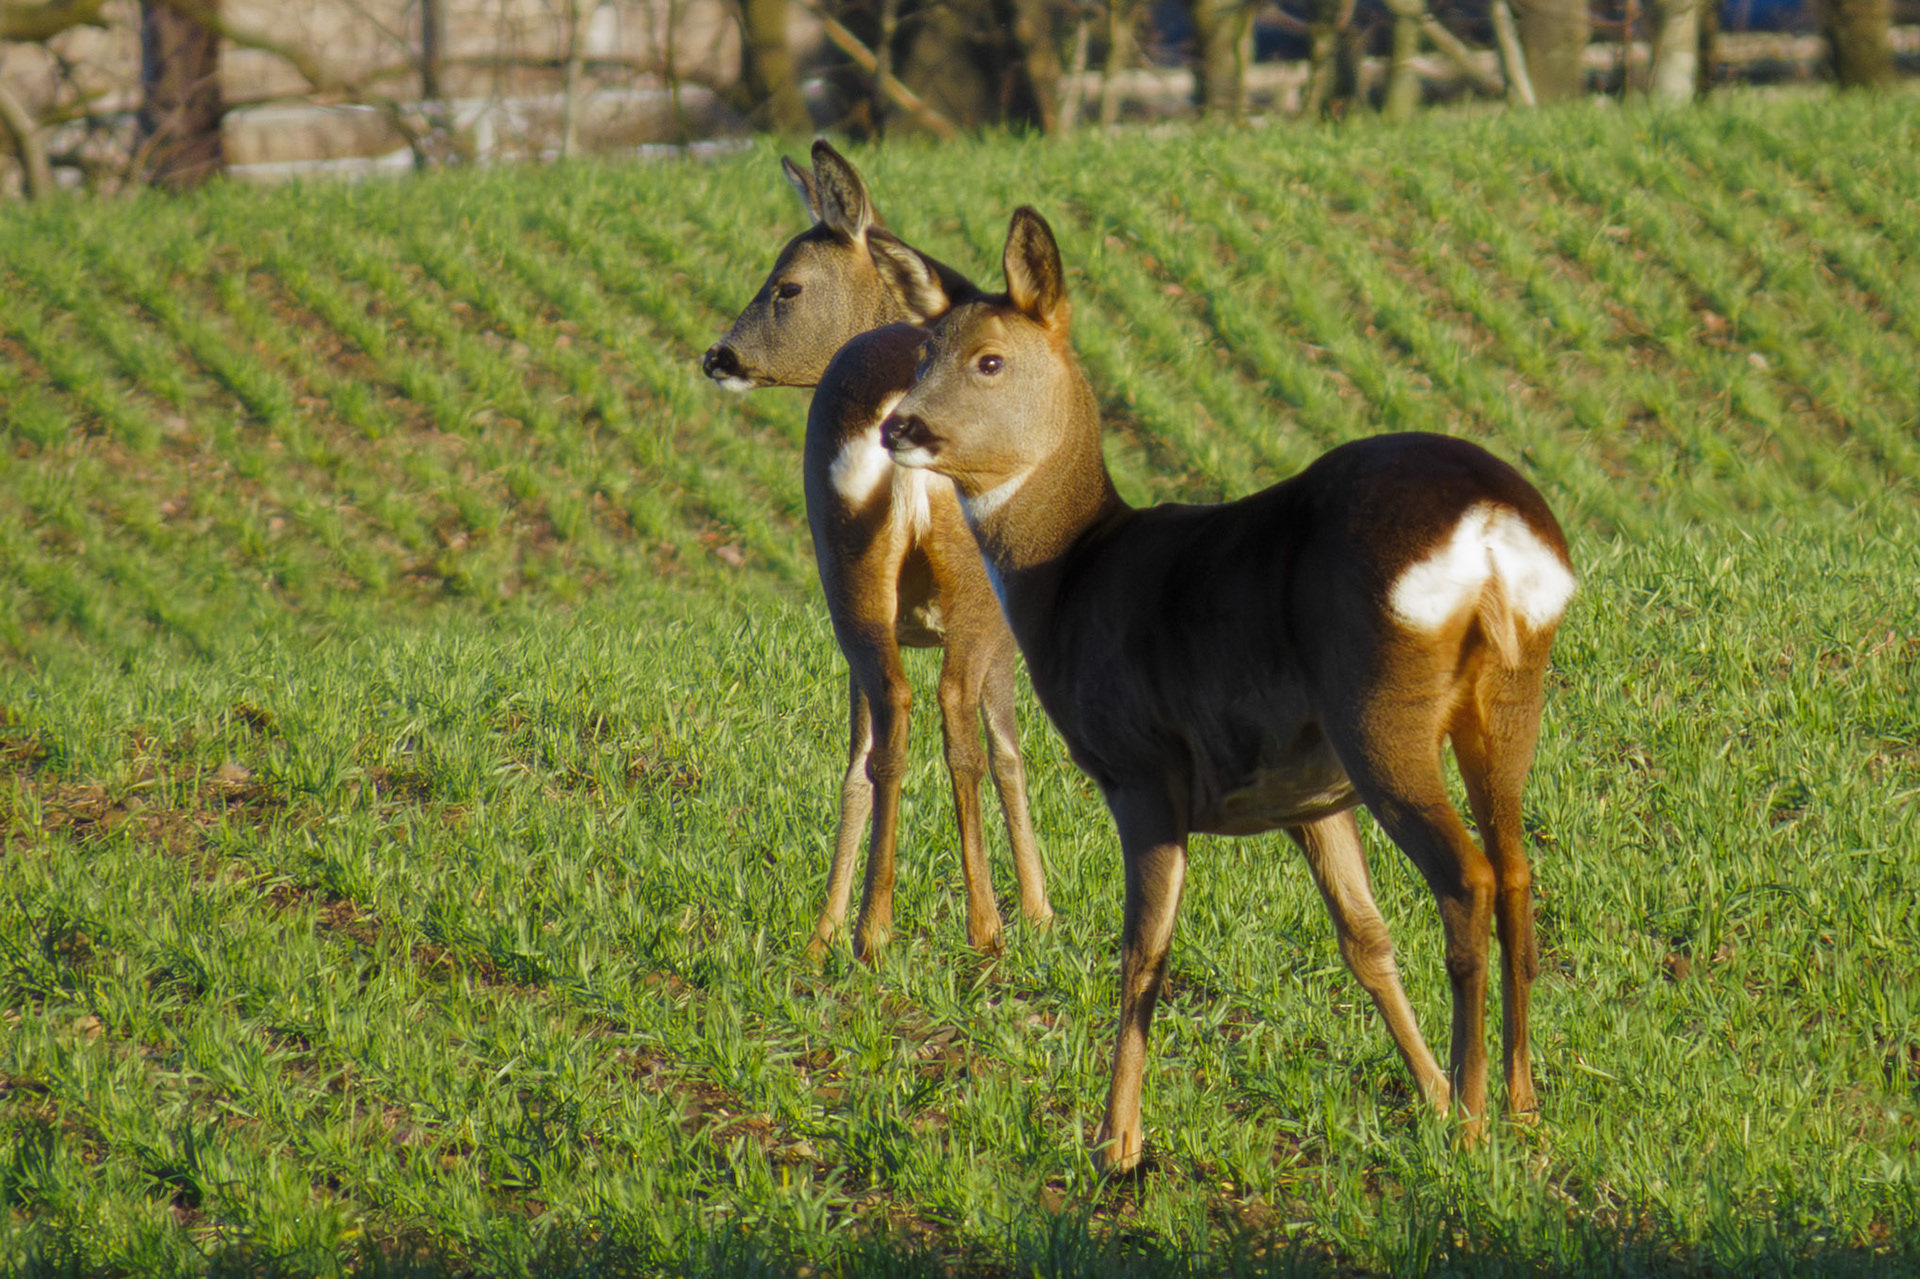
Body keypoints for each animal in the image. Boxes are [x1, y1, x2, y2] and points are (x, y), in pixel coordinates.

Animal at [702, 142, 1053, 960]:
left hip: (847, 580)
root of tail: (895, 414)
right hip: (968, 586)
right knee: (952, 717)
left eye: (786, 284)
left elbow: (857, 760)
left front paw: (825, 928)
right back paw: (983, 925)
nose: (717, 355)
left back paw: (867, 926)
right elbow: (1009, 749)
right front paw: (1041, 911)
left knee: (885, 728)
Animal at [879, 207, 1576, 1175]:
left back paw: (1476, 1123)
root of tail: (1489, 530)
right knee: (1514, 871)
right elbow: (1364, 938)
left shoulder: (1142, 767)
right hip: (1509, 695)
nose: (898, 426)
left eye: (989, 359)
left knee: (1466, 876)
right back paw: (1519, 1106)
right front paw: (1429, 1092)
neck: (1071, 576)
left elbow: (1143, 951)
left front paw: (1116, 1141)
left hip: (1379, 708)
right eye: (921, 351)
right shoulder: (1306, 794)